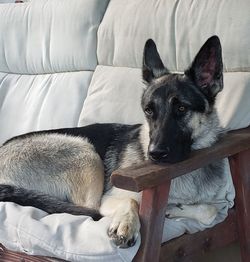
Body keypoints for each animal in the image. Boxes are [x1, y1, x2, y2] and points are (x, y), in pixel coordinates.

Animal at [0, 35, 226, 248]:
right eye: (148, 111)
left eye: (181, 108)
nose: (154, 154)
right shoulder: (109, 198)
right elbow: (131, 200)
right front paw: (126, 223)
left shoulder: (216, 203)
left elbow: (212, 210)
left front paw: (176, 208)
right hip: (85, 152)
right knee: (90, 207)